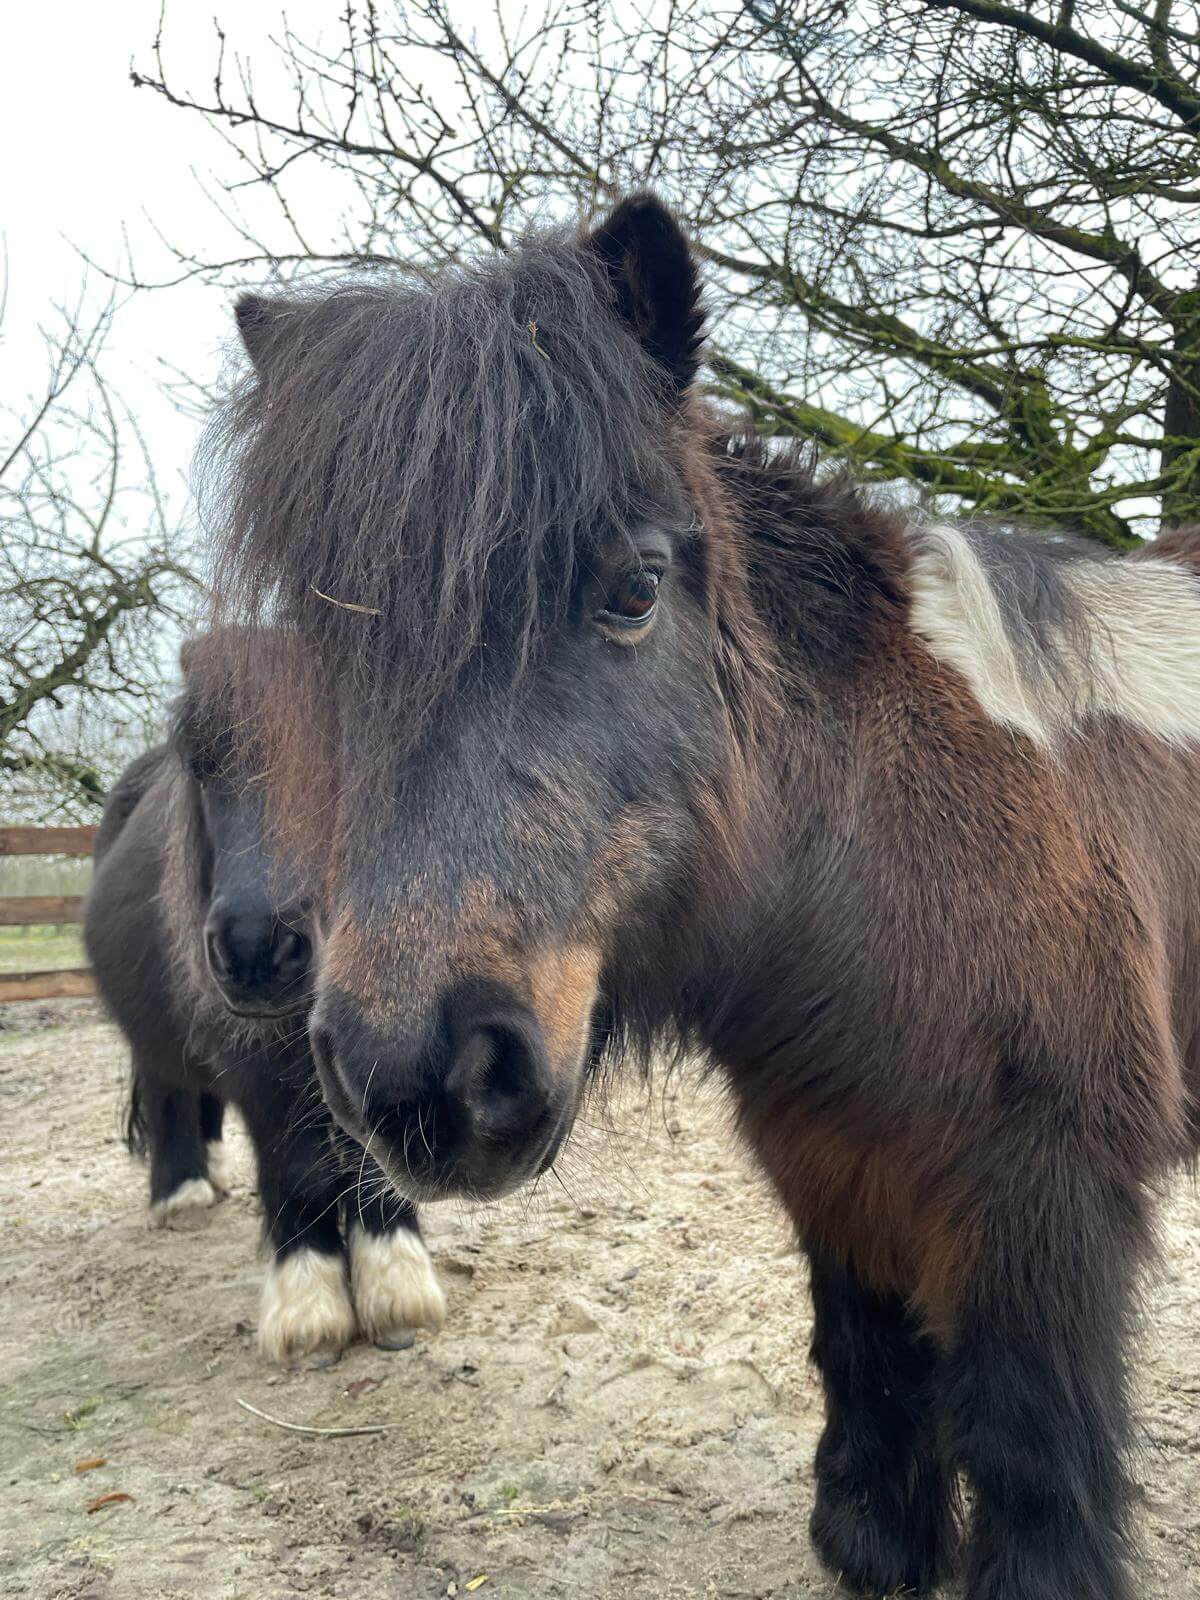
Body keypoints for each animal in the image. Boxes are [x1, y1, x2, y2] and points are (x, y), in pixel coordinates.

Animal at [84, 632, 446, 1364]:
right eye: (201, 763)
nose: (256, 950)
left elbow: (372, 1157)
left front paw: (395, 1286)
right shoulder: (258, 1067)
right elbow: (297, 1164)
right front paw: (309, 1308)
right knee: (167, 1088)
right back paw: (182, 1192)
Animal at [200, 195, 1200, 1598]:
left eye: (635, 585)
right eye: (330, 637)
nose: (420, 1073)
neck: (890, 842)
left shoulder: (1044, 1202)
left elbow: (1031, 1437)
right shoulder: (838, 1157)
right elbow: (870, 1364)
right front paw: (878, 1541)